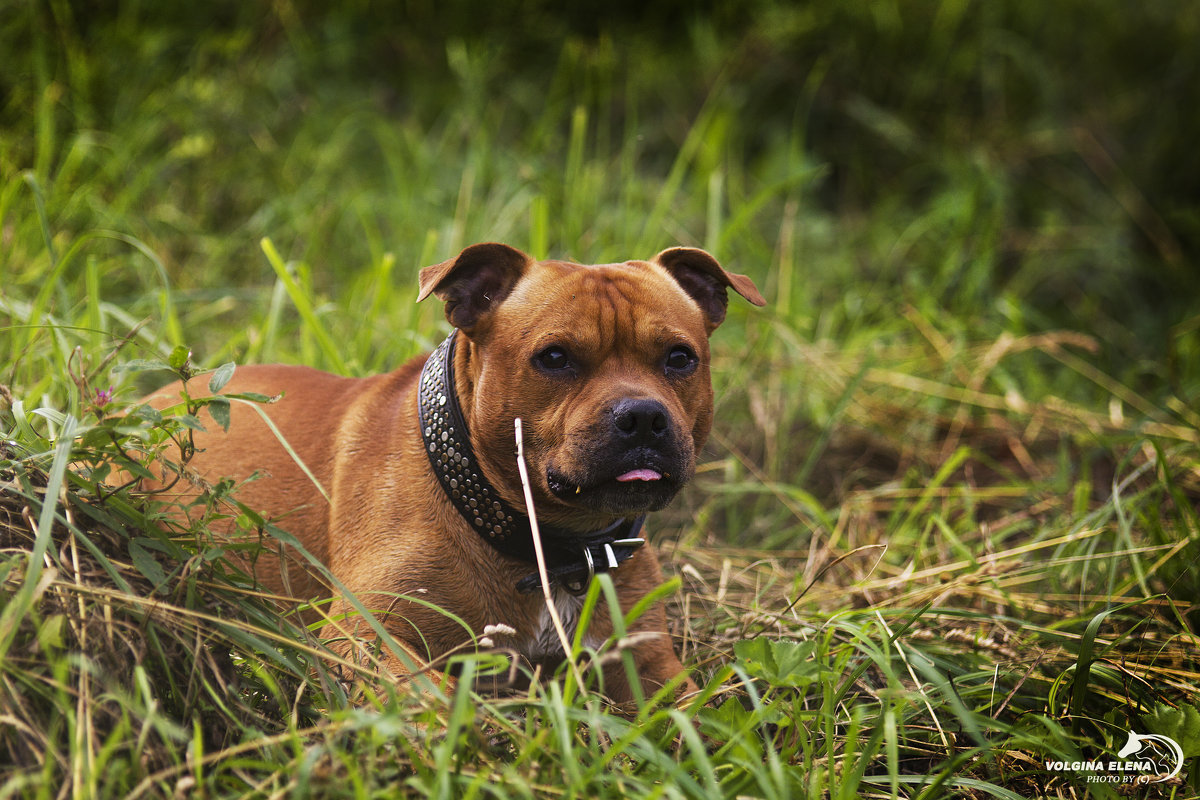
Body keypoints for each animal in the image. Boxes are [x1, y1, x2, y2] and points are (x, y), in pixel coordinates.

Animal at [140, 241, 763, 705]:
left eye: (680, 358)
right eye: (554, 358)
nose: (642, 417)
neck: (546, 545)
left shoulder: (648, 661)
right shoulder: (362, 635)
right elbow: (430, 694)